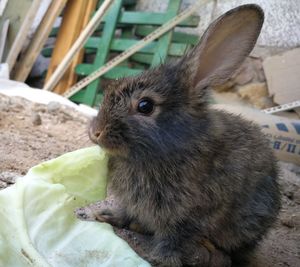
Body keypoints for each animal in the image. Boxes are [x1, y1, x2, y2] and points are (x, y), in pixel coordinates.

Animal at [75, 4, 282, 267]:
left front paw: (158, 259)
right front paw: (103, 214)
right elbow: (127, 212)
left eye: (145, 106)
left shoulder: (189, 215)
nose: (95, 132)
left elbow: (174, 240)